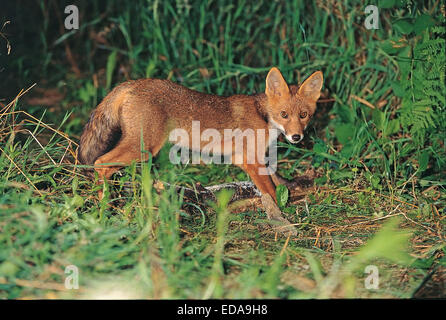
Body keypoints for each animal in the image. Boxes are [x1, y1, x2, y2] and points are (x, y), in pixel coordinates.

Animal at [78, 67, 322, 225]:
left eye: (303, 115)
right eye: (284, 115)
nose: (296, 137)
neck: (263, 116)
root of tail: (133, 83)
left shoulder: (253, 159)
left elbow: (276, 182)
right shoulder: (248, 159)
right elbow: (270, 191)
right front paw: (280, 212)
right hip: (142, 149)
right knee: (100, 162)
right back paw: (104, 205)